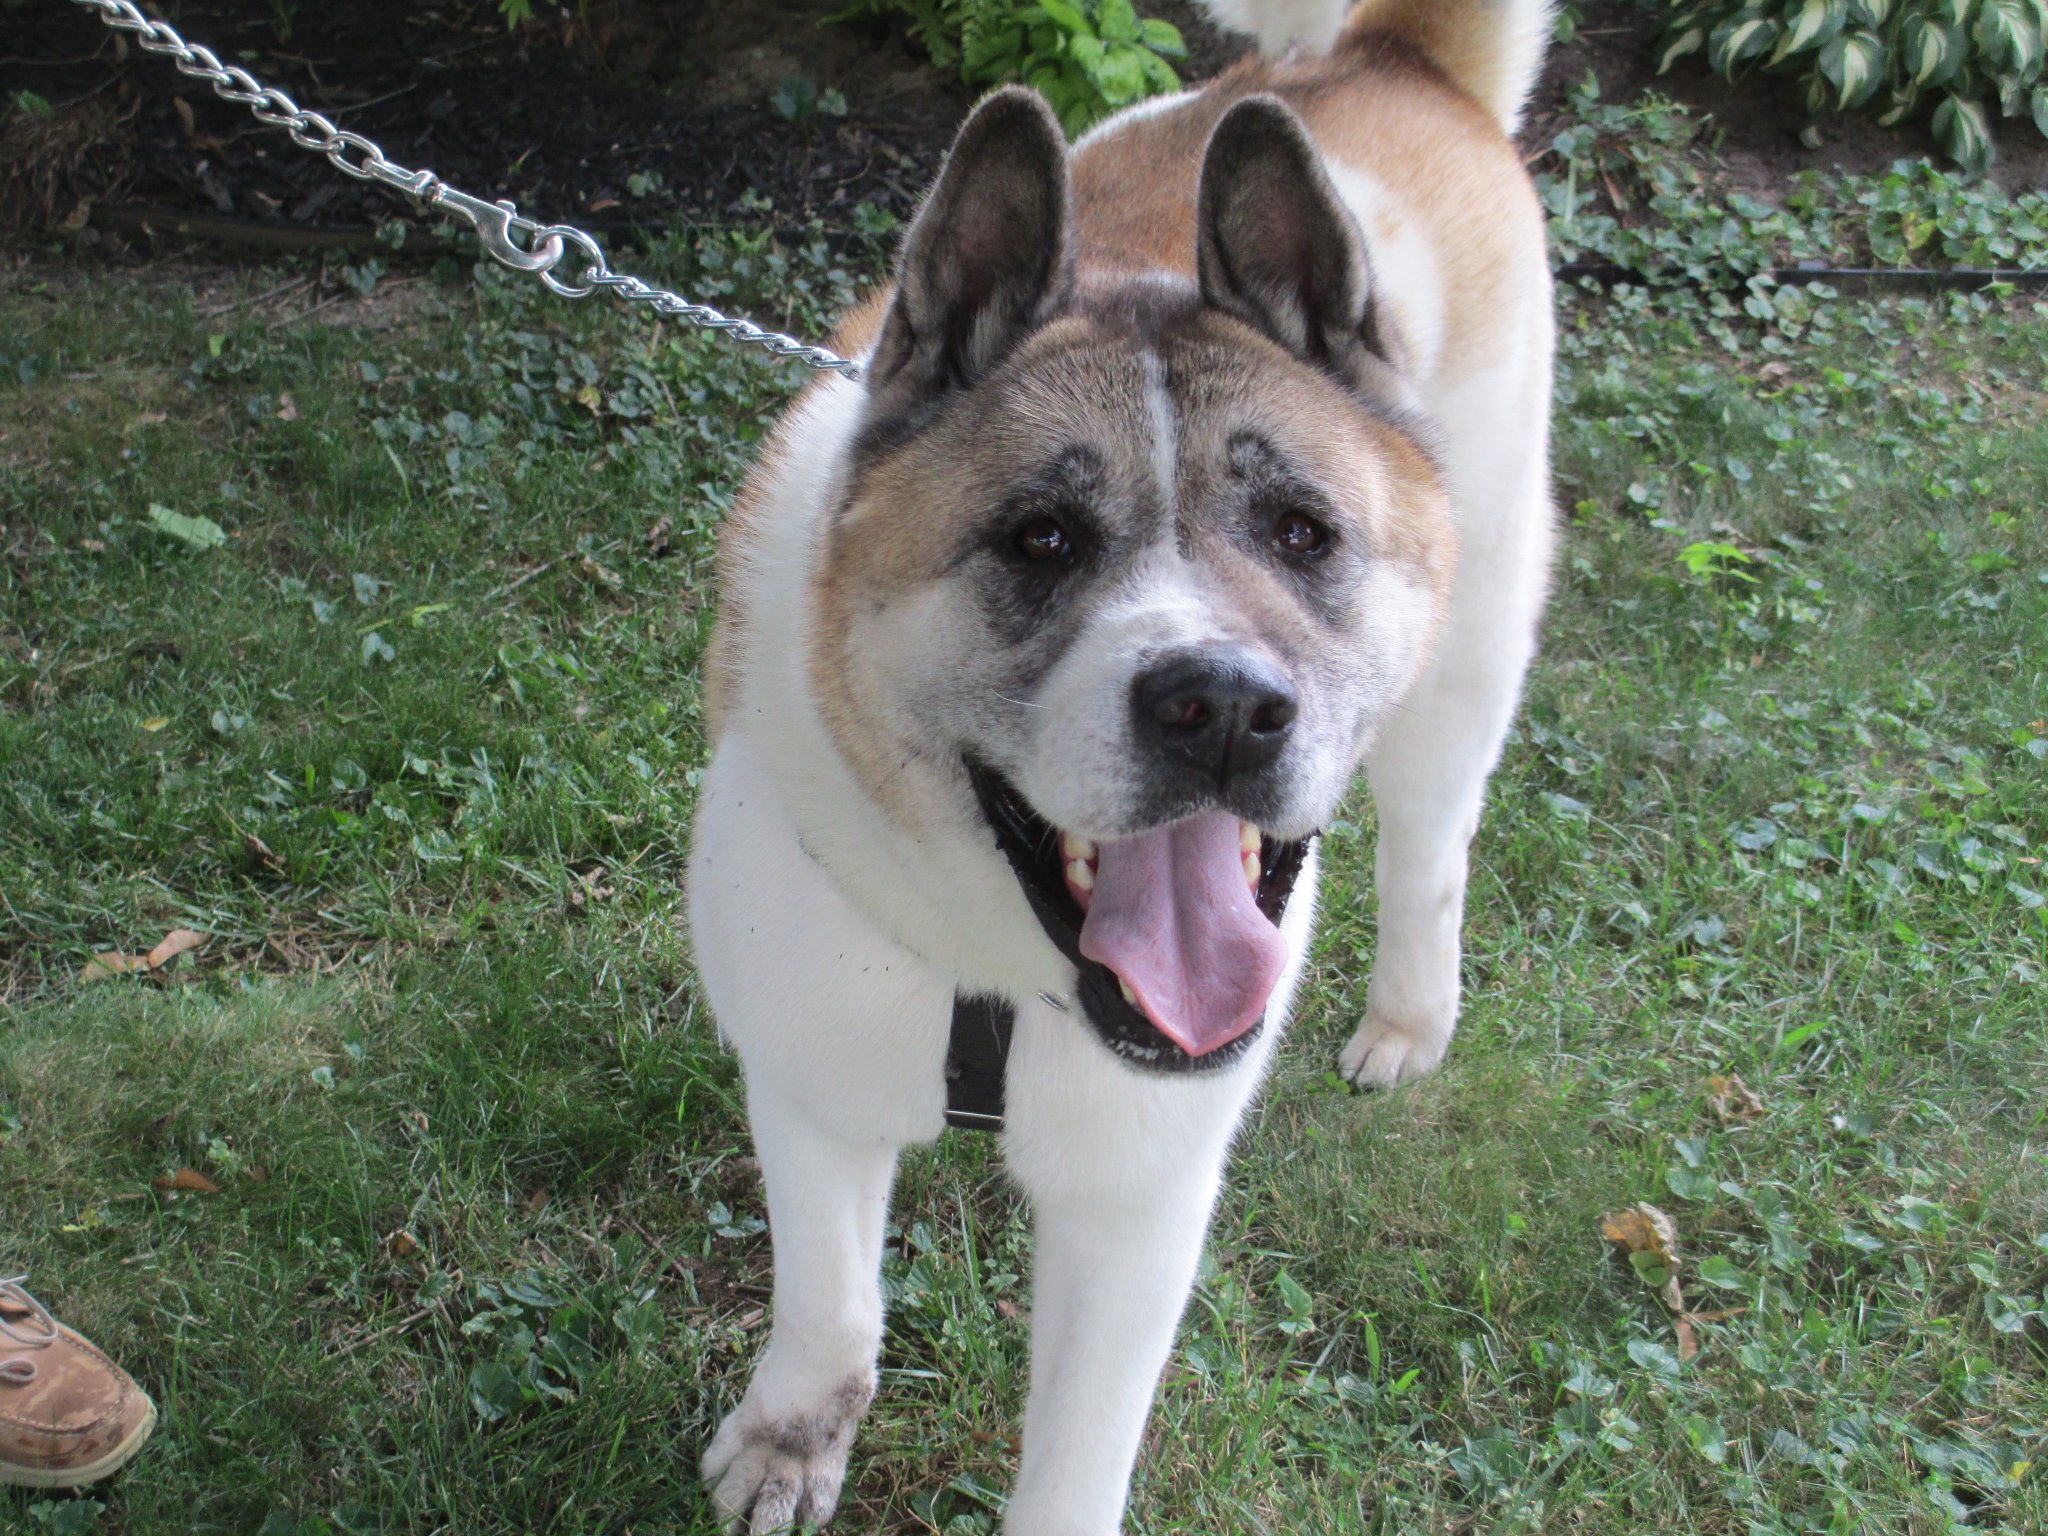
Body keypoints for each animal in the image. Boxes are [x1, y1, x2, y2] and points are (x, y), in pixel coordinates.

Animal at [684, 0, 1548, 1531]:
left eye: (1301, 533)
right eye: (1040, 541)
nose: (1223, 707)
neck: (1009, 973)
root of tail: (1388, 58)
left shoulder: (1138, 1196)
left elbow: (1079, 1456)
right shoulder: (808, 1075)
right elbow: (831, 1302)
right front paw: (791, 1440)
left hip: (1472, 650)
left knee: (1431, 850)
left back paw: (1405, 1020)